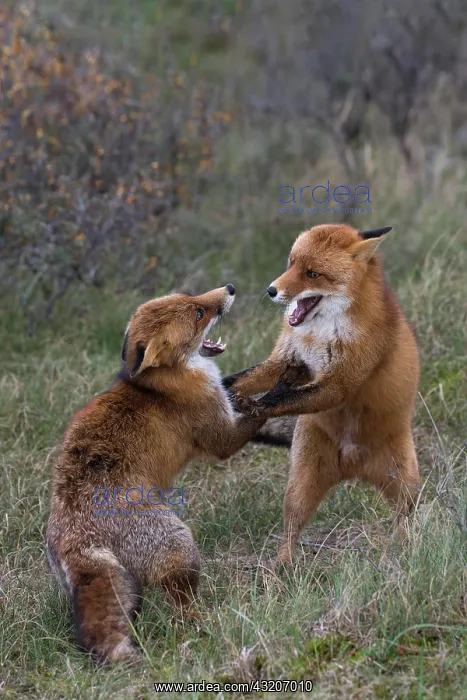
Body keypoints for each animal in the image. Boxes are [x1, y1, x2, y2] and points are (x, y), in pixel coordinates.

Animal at [46, 285, 266, 664]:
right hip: (180, 548)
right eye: (198, 313)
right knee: (182, 604)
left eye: (192, 296)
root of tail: (75, 535)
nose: (230, 288)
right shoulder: (220, 437)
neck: (162, 382)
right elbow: (257, 415)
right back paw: (200, 625)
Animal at [224, 224, 421, 565]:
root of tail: (354, 468)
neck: (320, 335)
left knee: (402, 519)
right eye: (290, 264)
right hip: (300, 487)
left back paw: (407, 553)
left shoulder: (339, 383)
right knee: (291, 528)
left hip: (405, 485)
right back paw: (281, 568)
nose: (271, 290)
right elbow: (241, 379)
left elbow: (282, 399)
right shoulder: (284, 360)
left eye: (312, 274)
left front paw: (255, 405)